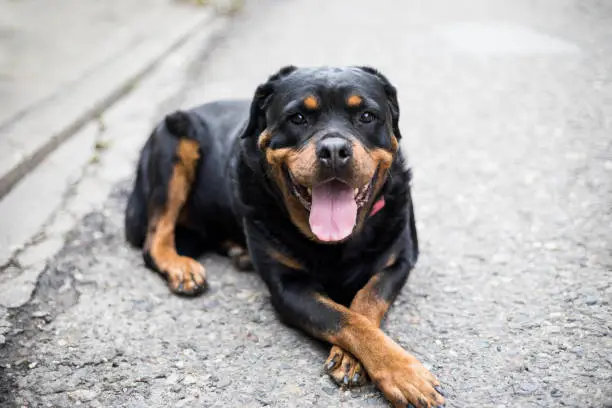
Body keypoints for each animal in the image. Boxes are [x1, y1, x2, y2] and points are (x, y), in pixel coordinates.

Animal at [124, 65, 444, 406]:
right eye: (298, 118)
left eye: (367, 116)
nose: (334, 150)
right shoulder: (288, 287)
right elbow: (344, 318)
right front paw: (403, 373)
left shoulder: (398, 262)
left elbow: (366, 302)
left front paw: (360, 360)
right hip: (175, 140)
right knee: (155, 237)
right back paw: (182, 267)